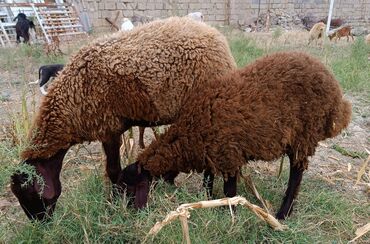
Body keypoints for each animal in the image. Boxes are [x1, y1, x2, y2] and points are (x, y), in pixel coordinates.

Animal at [10, 16, 237, 220]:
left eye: (28, 192)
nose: (40, 223)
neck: (71, 102)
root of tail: (217, 38)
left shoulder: (108, 129)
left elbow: (113, 170)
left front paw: (115, 201)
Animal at [119, 51, 352, 219]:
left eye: (130, 187)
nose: (127, 212)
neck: (189, 134)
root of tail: (337, 96)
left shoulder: (228, 155)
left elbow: (229, 190)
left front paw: (231, 213)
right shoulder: (210, 153)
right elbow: (208, 180)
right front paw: (207, 199)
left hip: (304, 137)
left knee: (296, 176)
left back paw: (282, 213)